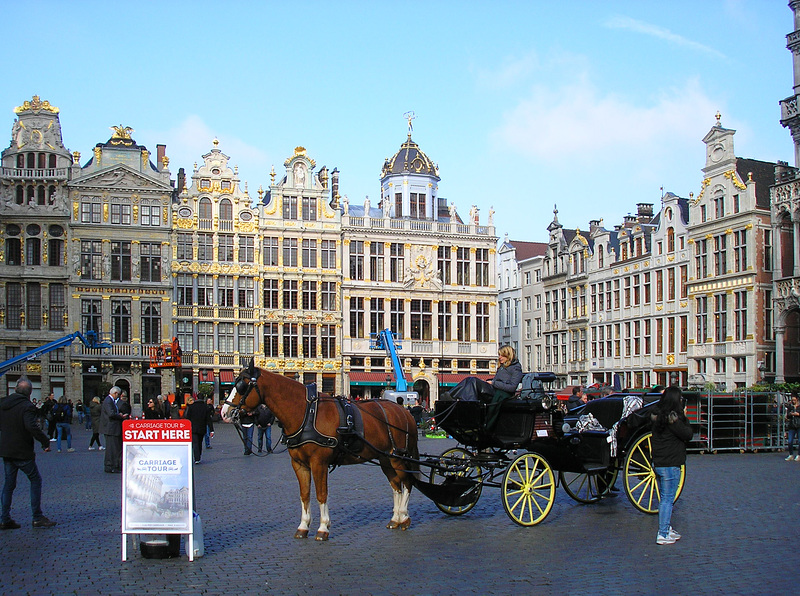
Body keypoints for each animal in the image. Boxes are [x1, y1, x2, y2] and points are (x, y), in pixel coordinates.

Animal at [220, 364, 416, 540]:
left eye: (242, 386)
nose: (224, 412)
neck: (306, 413)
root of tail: (403, 411)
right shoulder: (299, 464)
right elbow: (305, 494)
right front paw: (303, 526)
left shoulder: (318, 463)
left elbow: (321, 494)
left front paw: (323, 528)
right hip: (385, 458)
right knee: (396, 485)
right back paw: (395, 519)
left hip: (399, 457)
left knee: (407, 482)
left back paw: (405, 517)